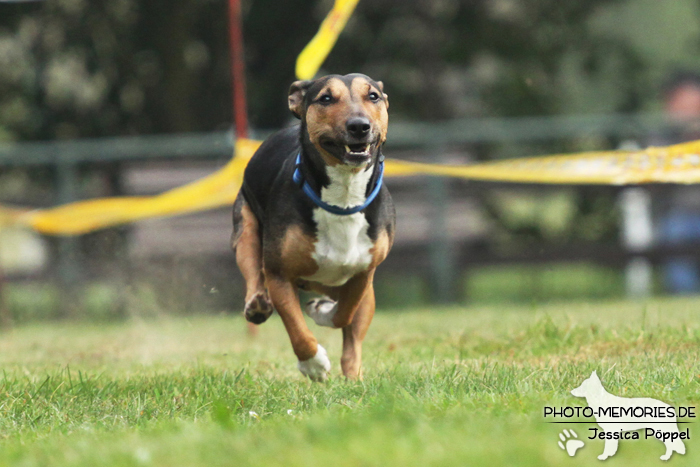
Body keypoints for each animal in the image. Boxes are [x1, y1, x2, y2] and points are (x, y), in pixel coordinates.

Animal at [231, 72, 392, 380]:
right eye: (326, 98)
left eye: (373, 96)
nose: (359, 126)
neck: (343, 198)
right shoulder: (279, 274)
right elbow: (295, 327)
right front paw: (313, 364)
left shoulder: (363, 274)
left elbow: (345, 313)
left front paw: (322, 311)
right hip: (245, 224)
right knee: (252, 266)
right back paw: (257, 304)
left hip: (361, 293)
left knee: (353, 340)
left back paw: (354, 377)